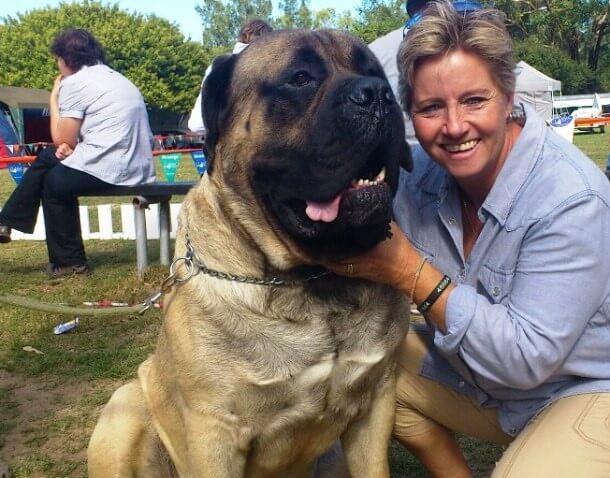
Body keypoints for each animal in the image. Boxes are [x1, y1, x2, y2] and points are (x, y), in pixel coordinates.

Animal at [88, 29, 410, 478]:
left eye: (376, 73)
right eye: (300, 78)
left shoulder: (377, 400)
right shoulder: (215, 432)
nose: (377, 94)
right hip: (125, 407)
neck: (312, 281)